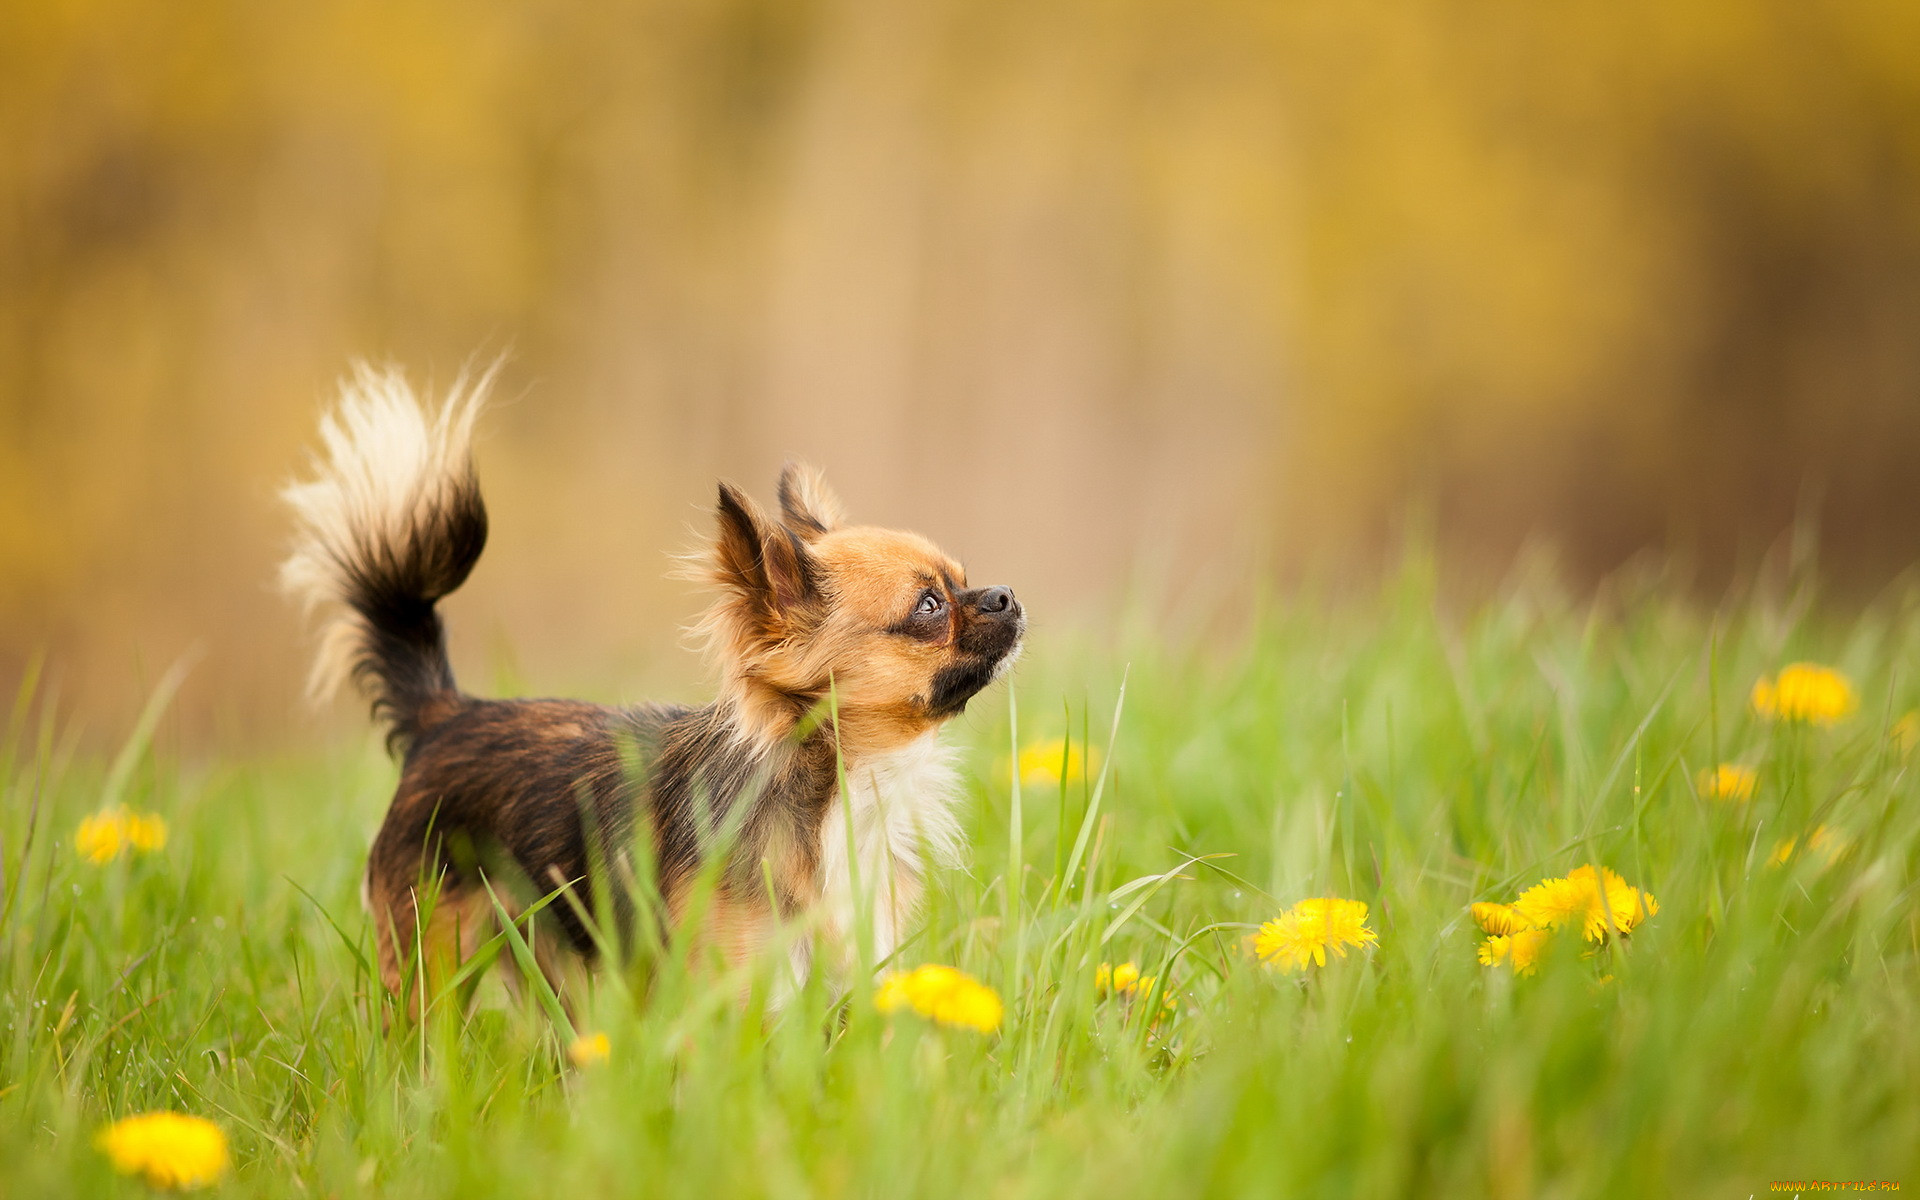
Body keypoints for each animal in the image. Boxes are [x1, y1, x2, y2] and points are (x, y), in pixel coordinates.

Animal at [280, 364, 1021, 1013]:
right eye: (930, 607)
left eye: (964, 579)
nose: (1007, 595)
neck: (845, 782)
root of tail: (447, 715)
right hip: (432, 962)